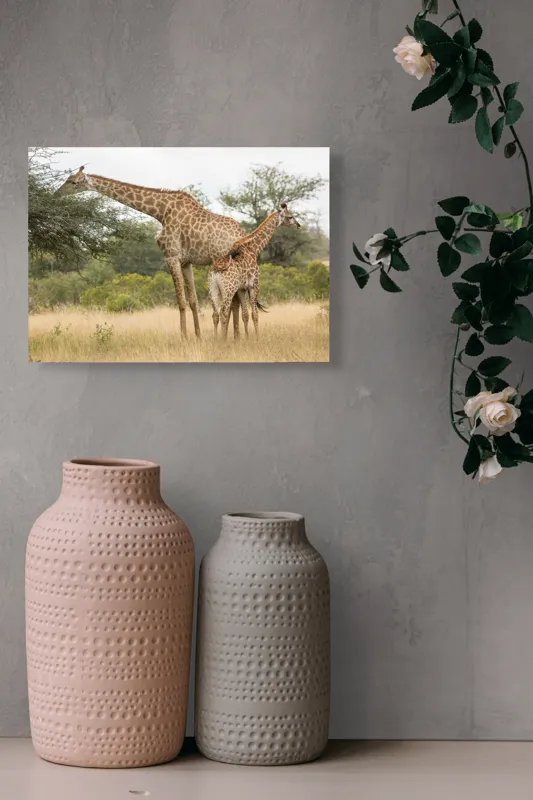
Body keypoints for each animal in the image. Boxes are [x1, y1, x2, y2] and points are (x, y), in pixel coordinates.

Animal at [56, 166, 249, 339]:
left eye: (73, 182)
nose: (56, 194)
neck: (161, 211)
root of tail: (241, 234)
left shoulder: (171, 256)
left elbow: (181, 301)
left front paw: (184, 338)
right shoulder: (186, 261)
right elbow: (193, 300)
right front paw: (198, 336)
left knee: (233, 301)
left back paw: (232, 337)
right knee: (236, 301)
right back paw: (237, 337)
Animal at [209, 204, 301, 339]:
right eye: (290, 216)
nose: (298, 225)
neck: (254, 248)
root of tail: (216, 270)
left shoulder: (241, 288)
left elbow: (245, 314)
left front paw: (247, 338)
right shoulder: (254, 285)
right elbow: (255, 314)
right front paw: (257, 338)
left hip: (213, 289)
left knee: (215, 314)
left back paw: (215, 339)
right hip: (228, 290)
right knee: (223, 312)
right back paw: (222, 340)